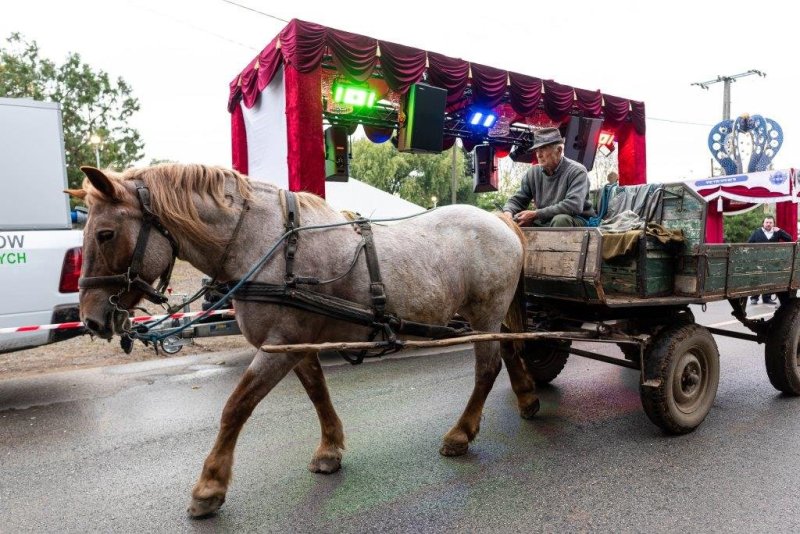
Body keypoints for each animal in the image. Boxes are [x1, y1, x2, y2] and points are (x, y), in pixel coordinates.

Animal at [69, 164, 540, 520]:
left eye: (106, 233)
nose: (90, 319)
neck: (266, 244)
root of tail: (498, 220)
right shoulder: (294, 344)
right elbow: (316, 392)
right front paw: (330, 449)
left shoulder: (278, 345)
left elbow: (236, 407)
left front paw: (209, 486)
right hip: (494, 318)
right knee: (512, 348)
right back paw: (527, 398)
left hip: (484, 314)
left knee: (487, 368)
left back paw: (461, 434)